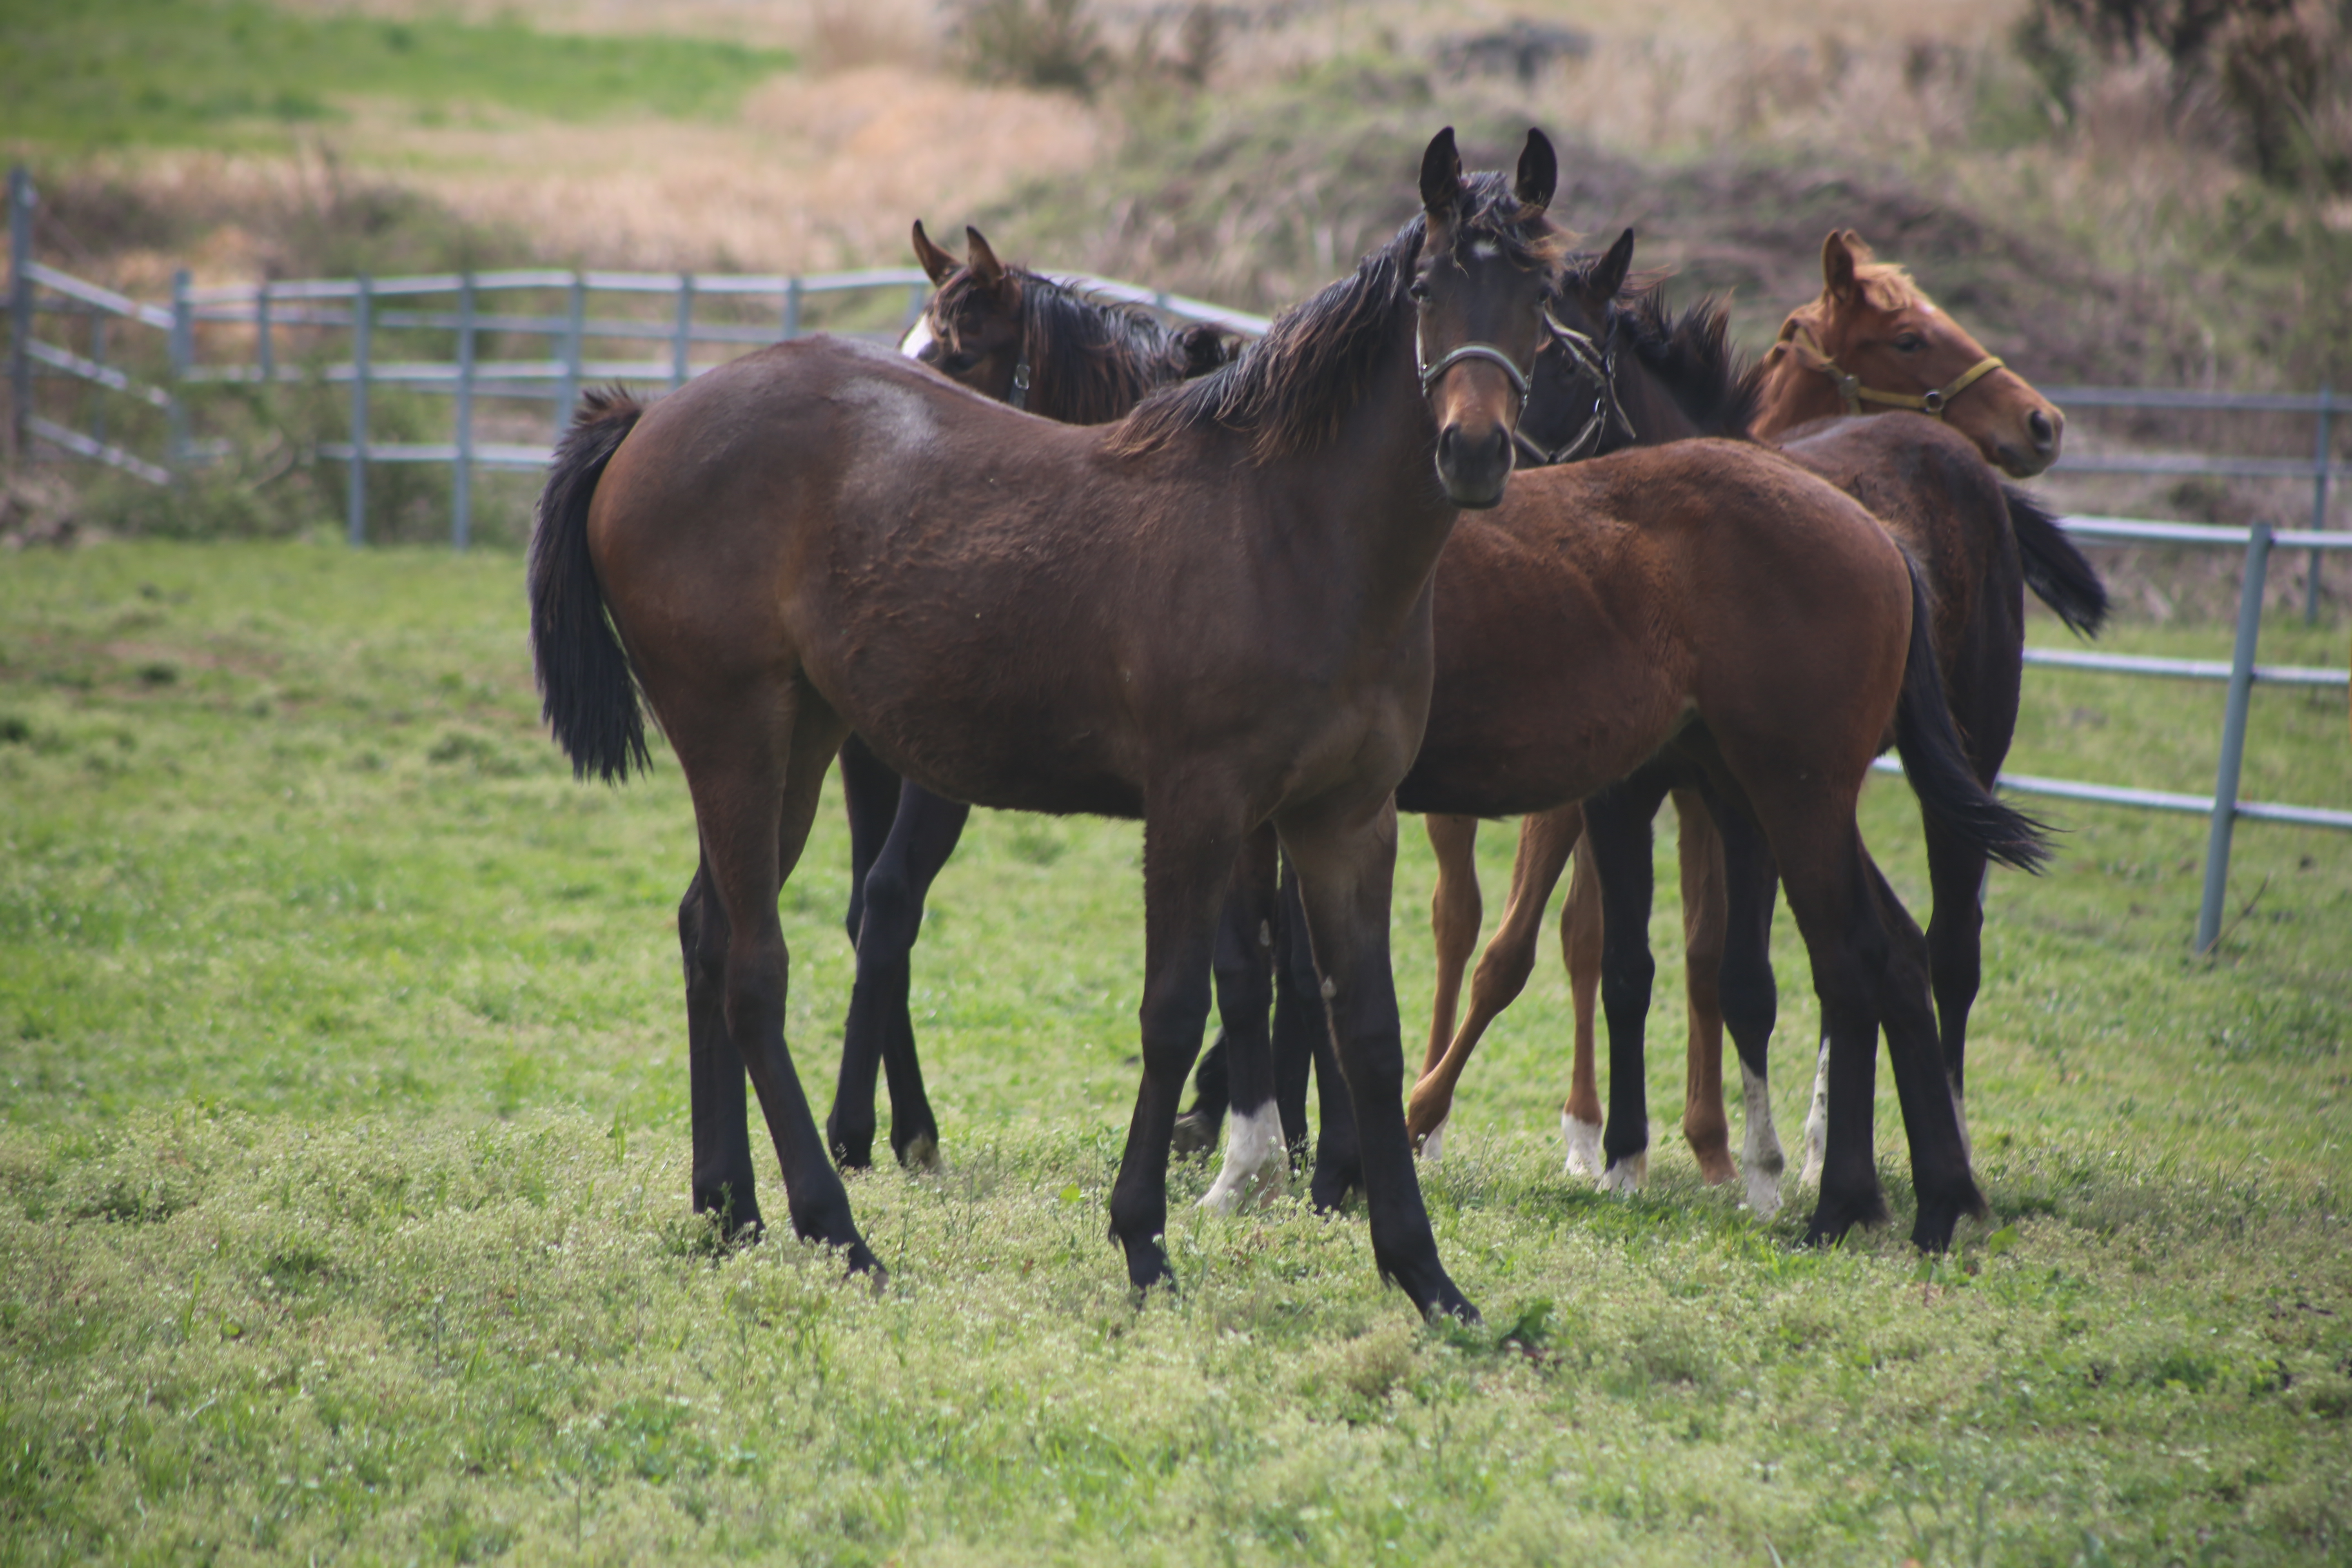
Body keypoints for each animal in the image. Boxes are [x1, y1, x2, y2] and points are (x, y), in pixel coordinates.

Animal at [524, 129, 1571, 1316]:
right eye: (1429, 288)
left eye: (1539, 292)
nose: (1475, 452)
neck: (1288, 529)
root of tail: (647, 419)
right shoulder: (1200, 808)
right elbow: (1174, 1011)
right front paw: (1144, 1242)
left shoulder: (1347, 819)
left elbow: (1369, 1031)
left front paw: (1426, 1276)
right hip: (734, 733)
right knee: (754, 966)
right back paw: (836, 1228)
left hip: (797, 743)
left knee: (707, 931)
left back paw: (729, 1209)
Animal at [1401, 232, 2107, 1213]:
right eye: (1908, 337)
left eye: (1564, 361)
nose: (2041, 425)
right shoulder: (1634, 794)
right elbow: (1612, 957)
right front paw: (1625, 1153)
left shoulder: (1721, 802)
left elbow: (1724, 969)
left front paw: (1734, 1158)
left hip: (1956, 765)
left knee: (1947, 947)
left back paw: (1922, 1149)